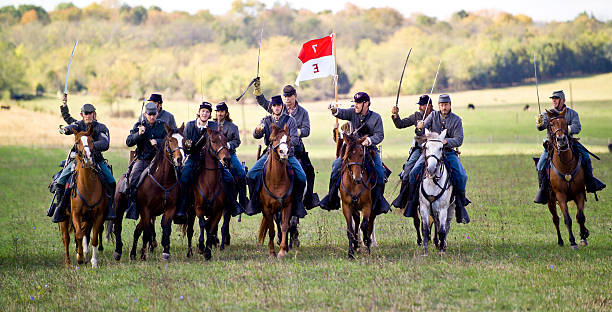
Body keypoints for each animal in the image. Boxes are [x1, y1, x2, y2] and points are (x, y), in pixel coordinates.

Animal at [59, 125, 109, 266]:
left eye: (92, 141)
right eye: (77, 142)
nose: (87, 157)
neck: (88, 188)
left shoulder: (98, 216)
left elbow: (94, 238)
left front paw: (93, 262)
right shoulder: (76, 214)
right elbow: (79, 235)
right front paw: (80, 257)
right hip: (64, 218)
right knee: (66, 238)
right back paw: (68, 262)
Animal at [123, 124, 182, 260]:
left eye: (183, 139)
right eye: (170, 140)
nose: (179, 159)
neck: (164, 180)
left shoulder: (170, 208)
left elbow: (166, 229)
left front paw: (166, 252)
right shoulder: (146, 210)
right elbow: (146, 232)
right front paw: (143, 255)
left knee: (138, 230)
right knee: (140, 230)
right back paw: (134, 253)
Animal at [184, 125, 232, 260]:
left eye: (226, 141)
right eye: (214, 141)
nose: (227, 159)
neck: (210, 184)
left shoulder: (217, 211)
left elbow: (210, 229)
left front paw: (208, 252)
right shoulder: (198, 208)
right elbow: (202, 224)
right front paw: (201, 247)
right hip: (190, 211)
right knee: (190, 231)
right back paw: (189, 252)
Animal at [258, 124, 294, 258]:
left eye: (288, 139)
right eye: (274, 139)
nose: (284, 152)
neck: (277, 181)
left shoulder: (288, 205)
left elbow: (284, 227)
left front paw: (282, 251)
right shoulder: (267, 208)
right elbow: (271, 230)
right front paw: (272, 252)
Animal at [544, 109, 588, 249]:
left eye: (565, 123)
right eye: (551, 124)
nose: (561, 139)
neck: (566, 166)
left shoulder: (579, 193)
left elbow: (580, 217)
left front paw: (584, 236)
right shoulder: (560, 195)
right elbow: (567, 218)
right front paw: (572, 241)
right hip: (550, 201)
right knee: (556, 219)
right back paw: (560, 241)